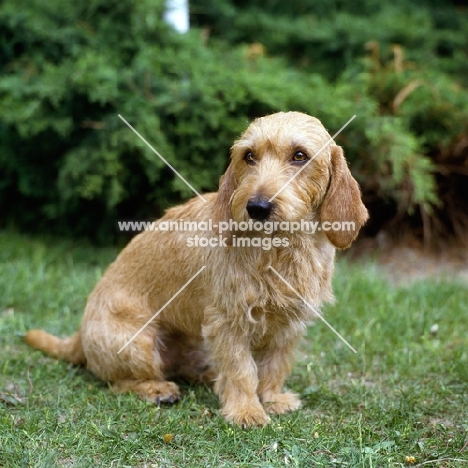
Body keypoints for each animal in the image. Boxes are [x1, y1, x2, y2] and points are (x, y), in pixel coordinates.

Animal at [25, 111, 370, 426]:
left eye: (300, 155)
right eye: (249, 155)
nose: (257, 207)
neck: (279, 248)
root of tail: (79, 335)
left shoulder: (288, 323)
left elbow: (274, 364)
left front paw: (272, 399)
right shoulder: (228, 319)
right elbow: (241, 369)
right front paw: (246, 411)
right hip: (139, 342)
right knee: (117, 382)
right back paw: (157, 389)